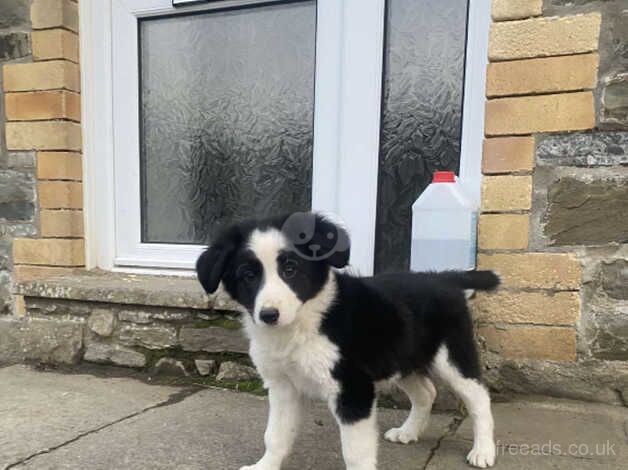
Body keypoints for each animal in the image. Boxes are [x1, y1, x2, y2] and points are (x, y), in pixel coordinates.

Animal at [196, 213, 500, 470]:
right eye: (248, 276)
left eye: (290, 270)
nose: (269, 315)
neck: (303, 324)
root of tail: (443, 278)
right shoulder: (283, 386)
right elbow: (275, 435)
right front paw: (264, 466)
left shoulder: (353, 389)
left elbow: (355, 452)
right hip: (402, 357)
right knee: (426, 392)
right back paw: (408, 432)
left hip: (453, 355)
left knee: (479, 398)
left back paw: (483, 451)